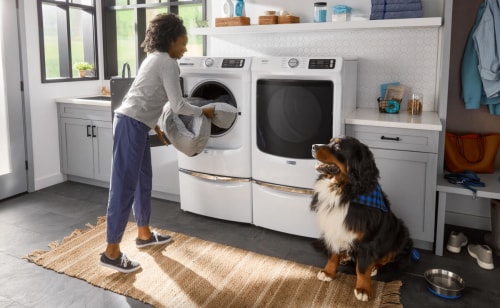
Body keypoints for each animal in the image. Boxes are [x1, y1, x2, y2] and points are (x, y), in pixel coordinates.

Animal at [310, 137, 412, 300]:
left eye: (338, 147)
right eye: (330, 141)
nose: (314, 146)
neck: (344, 190)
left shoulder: (368, 240)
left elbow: (363, 267)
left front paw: (363, 289)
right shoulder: (333, 228)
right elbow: (332, 254)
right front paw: (328, 272)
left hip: (400, 233)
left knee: (385, 258)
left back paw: (374, 267)